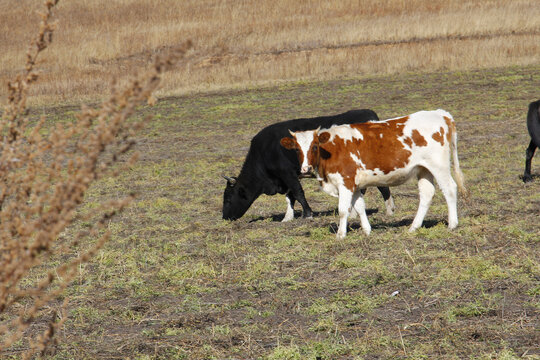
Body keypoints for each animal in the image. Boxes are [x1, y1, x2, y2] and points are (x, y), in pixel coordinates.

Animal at [221, 109, 394, 222]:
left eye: (228, 198)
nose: (224, 217)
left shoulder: (287, 174)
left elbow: (298, 193)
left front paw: (308, 214)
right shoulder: (287, 177)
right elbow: (290, 197)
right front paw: (288, 217)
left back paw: (387, 211)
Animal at [280, 109, 466, 239]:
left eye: (314, 146)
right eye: (297, 149)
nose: (306, 169)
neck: (332, 150)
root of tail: (440, 114)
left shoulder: (346, 182)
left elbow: (343, 210)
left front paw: (341, 234)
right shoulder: (355, 184)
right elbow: (360, 207)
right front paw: (367, 230)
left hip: (439, 166)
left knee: (450, 189)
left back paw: (452, 224)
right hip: (423, 169)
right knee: (427, 194)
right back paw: (414, 227)